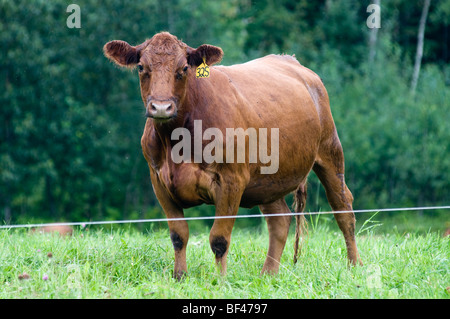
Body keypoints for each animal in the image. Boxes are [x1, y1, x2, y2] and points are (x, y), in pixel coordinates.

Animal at [104, 31, 362, 280]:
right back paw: (268, 274)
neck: (176, 142)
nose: (160, 107)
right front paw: (179, 276)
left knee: (343, 208)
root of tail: (292, 61)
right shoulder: (159, 181)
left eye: (184, 68)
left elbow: (219, 239)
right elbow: (178, 235)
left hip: (330, 151)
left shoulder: (231, 180)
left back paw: (354, 266)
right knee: (280, 219)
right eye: (141, 67)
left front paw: (221, 280)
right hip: (268, 180)